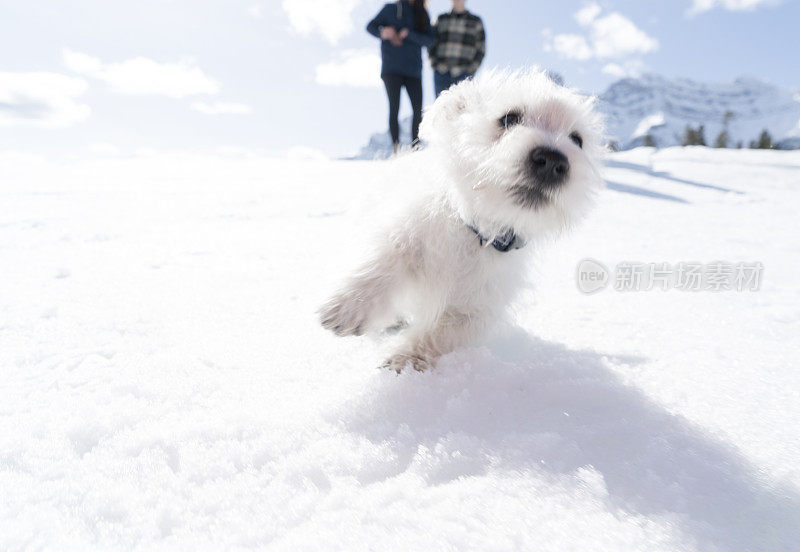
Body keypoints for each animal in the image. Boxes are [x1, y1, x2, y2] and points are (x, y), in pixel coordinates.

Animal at [322, 69, 604, 370]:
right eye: (510, 118)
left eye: (577, 140)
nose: (553, 161)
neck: (475, 230)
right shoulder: (404, 232)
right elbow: (384, 262)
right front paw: (350, 305)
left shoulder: (474, 309)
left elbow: (442, 333)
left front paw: (405, 359)